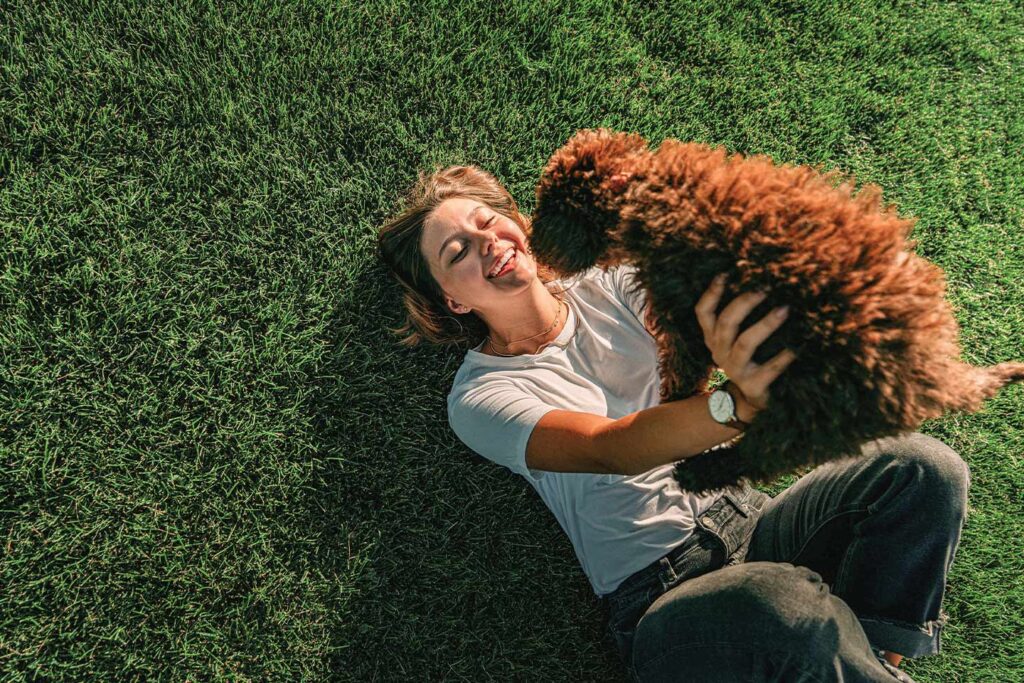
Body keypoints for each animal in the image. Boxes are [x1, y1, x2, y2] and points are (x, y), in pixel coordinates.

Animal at [528, 126, 1024, 491]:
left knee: (756, 458)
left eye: (549, 201)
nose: (534, 248)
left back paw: (698, 473)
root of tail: (940, 377)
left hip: (806, 422)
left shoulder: (689, 318)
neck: (655, 192)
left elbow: (685, 371)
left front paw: (673, 401)